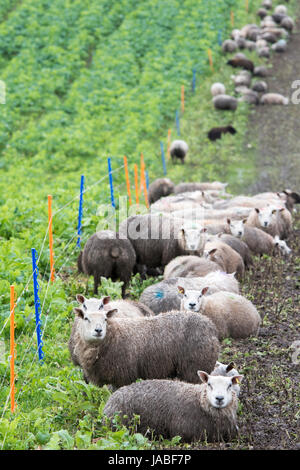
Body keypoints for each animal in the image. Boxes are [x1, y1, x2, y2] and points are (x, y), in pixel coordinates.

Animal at [68, 306, 220, 388]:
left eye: (105, 319)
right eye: (86, 318)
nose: (98, 330)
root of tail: (210, 325)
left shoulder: (123, 377)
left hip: (195, 368)